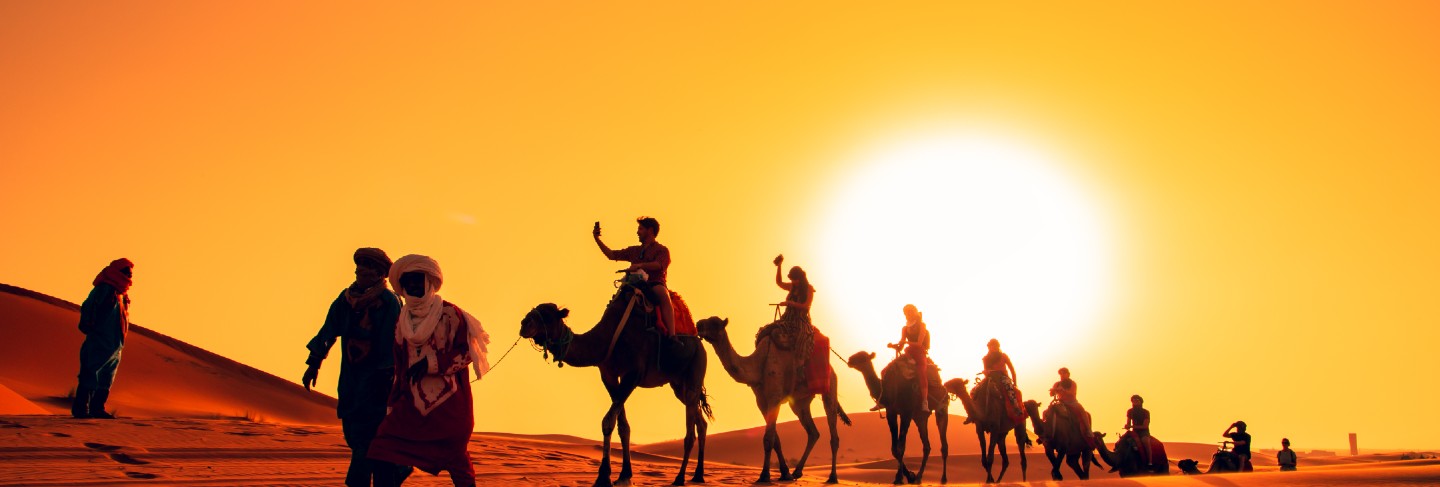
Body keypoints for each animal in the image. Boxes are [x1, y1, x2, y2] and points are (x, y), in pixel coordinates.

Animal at [524, 286, 714, 484]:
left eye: (547, 315)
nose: (524, 324)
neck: (607, 338)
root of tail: (699, 343)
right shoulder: (609, 376)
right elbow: (623, 427)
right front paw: (624, 475)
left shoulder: (633, 375)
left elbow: (608, 421)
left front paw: (603, 476)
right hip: (678, 385)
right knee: (701, 422)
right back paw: (698, 475)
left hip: (695, 369)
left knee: (690, 431)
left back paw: (680, 477)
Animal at [840, 350, 950, 484]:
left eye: (863, 357)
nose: (850, 360)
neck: (891, 391)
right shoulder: (891, 412)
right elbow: (894, 449)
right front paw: (909, 476)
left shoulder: (906, 412)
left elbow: (900, 447)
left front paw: (900, 478)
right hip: (920, 417)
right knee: (926, 446)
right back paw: (919, 477)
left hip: (942, 407)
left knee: (944, 444)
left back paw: (943, 478)